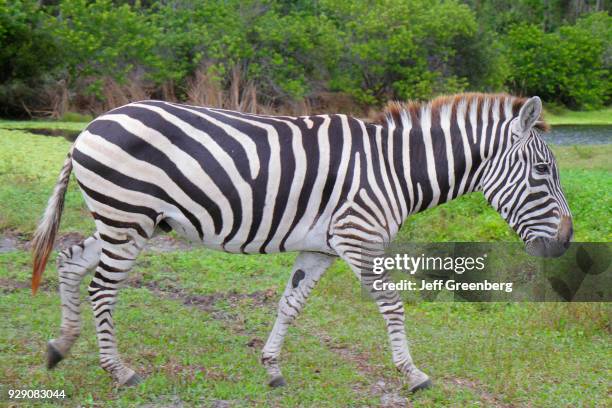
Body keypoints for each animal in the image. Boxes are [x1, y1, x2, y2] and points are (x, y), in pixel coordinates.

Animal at [31, 92, 572, 392]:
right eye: (543, 171)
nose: (567, 243)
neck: (395, 168)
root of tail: (88, 127)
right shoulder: (359, 237)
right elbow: (392, 304)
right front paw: (413, 374)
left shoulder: (322, 247)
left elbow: (290, 304)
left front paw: (271, 368)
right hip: (127, 217)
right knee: (102, 288)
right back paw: (118, 371)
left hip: (125, 221)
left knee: (70, 261)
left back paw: (60, 346)